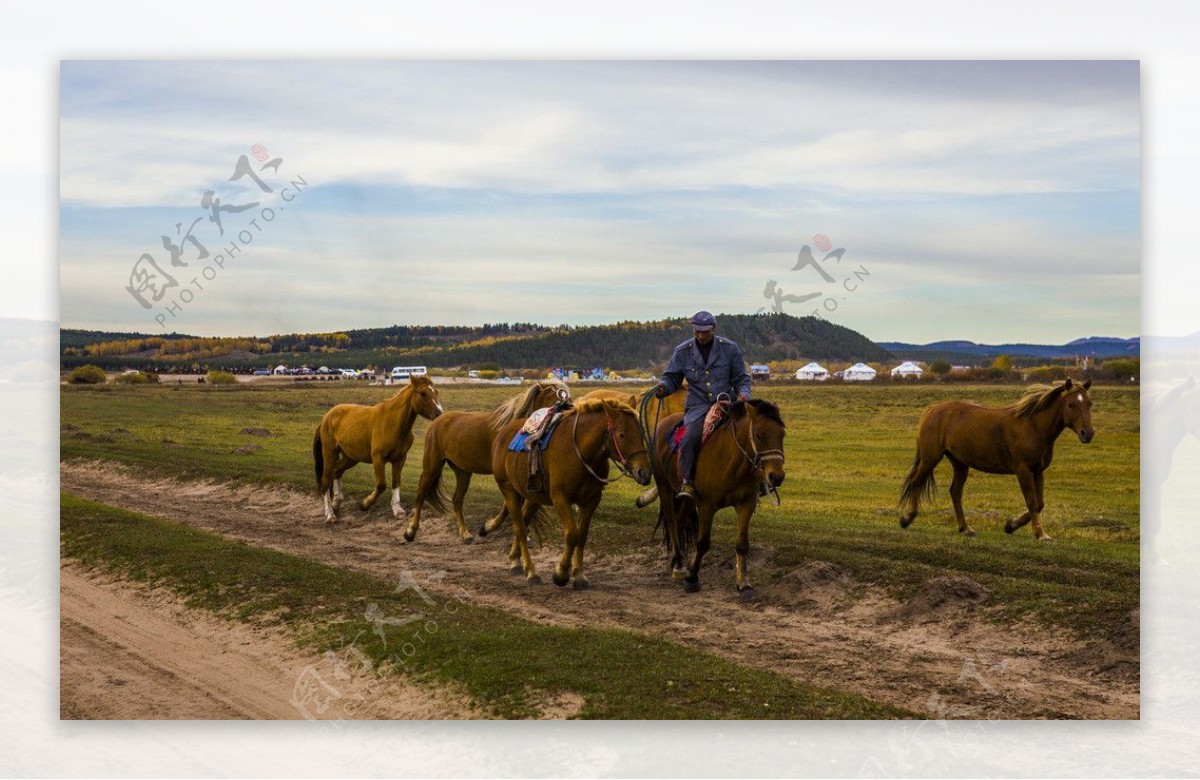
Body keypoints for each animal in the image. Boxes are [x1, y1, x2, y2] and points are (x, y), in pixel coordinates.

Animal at [314, 374, 446, 518]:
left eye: (436, 392)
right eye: (422, 393)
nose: (439, 413)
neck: (393, 423)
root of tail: (327, 416)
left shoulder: (400, 458)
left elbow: (396, 482)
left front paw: (397, 509)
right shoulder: (378, 458)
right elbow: (381, 485)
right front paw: (365, 504)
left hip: (351, 457)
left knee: (337, 471)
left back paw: (336, 502)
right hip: (329, 453)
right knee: (326, 480)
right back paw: (330, 513)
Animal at [405, 379, 568, 540]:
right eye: (555, 399)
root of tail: (439, 419)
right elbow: (508, 506)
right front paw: (487, 528)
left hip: (462, 471)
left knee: (457, 499)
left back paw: (465, 534)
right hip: (432, 466)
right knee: (421, 493)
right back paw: (410, 532)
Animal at [492, 398, 652, 585]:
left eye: (641, 433)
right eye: (621, 434)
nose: (644, 472)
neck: (580, 452)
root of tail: (502, 434)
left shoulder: (591, 500)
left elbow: (582, 535)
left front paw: (579, 574)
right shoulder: (561, 498)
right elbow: (571, 535)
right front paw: (561, 573)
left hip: (533, 497)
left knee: (523, 523)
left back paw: (515, 561)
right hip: (509, 491)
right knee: (520, 528)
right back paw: (531, 572)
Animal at [657, 398, 787, 597]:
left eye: (782, 435)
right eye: (758, 435)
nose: (777, 477)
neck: (731, 461)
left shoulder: (746, 504)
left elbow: (742, 544)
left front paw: (743, 584)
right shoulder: (706, 505)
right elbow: (703, 543)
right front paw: (692, 578)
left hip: (687, 499)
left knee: (680, 522)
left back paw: (679, 562)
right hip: (663, 485)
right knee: (671, 521)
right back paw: (679, 565)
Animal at [902, 379, 1099, 540]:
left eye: (1089, 403)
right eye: (1071, 404)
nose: (1087, 433)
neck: (1033, 427)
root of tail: (932, 410)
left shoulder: (1037, 470)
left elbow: (1039, 503)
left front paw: (1011, 526)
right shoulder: (1023, 470)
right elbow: (1032, 502)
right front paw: (1040, 533)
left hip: (960, 463)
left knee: (955, 492)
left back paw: (965, 528)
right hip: (930, 458)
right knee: (916, 482)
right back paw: (907, 518)